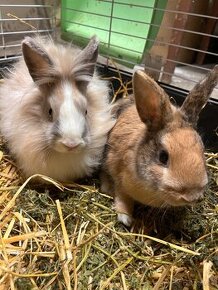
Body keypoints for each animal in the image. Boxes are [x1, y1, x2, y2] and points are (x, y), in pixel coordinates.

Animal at [101, 67, 218, 225]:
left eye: (202, 150)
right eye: (163, 157)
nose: (192, 196)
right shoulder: (119, 177)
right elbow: (122, 196)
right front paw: (125, 218)